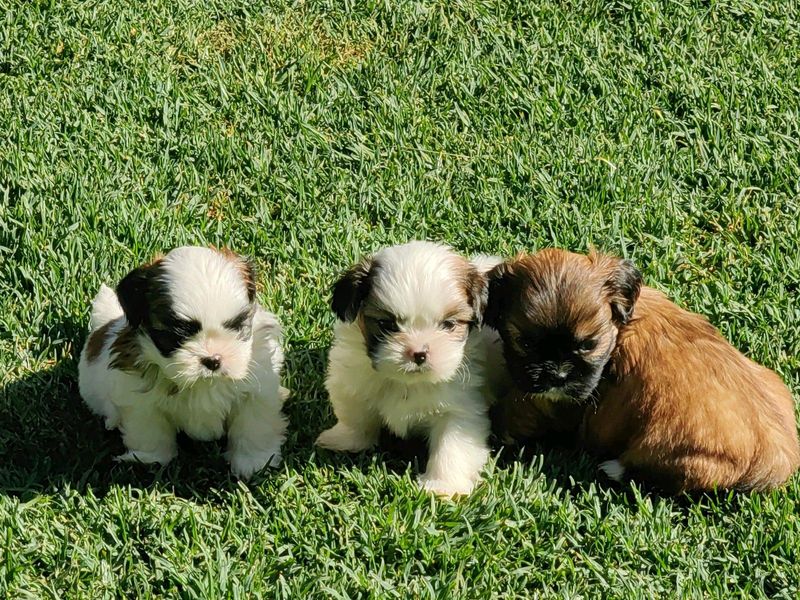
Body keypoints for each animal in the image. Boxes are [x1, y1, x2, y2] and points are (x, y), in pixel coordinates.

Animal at [77, 245, 288, 478]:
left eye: (235, 326)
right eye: (178, 334)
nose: (213, 360)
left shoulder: (256, 390)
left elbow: (254, 425)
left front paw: (253, 462)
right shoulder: (140, 399)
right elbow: (148, 429)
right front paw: (149, 460)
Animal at [314, 239, 506, 496]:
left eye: (448, 324)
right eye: (387, 324)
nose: (419, 353)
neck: (408, 383)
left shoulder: (460, 407)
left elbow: (452, 444)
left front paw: (442, 487)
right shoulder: (353, 380)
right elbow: (356, 416)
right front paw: (345, 441)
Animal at [488, 248, 800, 492]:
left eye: (588, 344)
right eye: (525, 343)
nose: (557, 376)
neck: (620, 330)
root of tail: (776, 458)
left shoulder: (554, 402)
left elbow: (518, 409)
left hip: (687, 457)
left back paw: (613, 468)